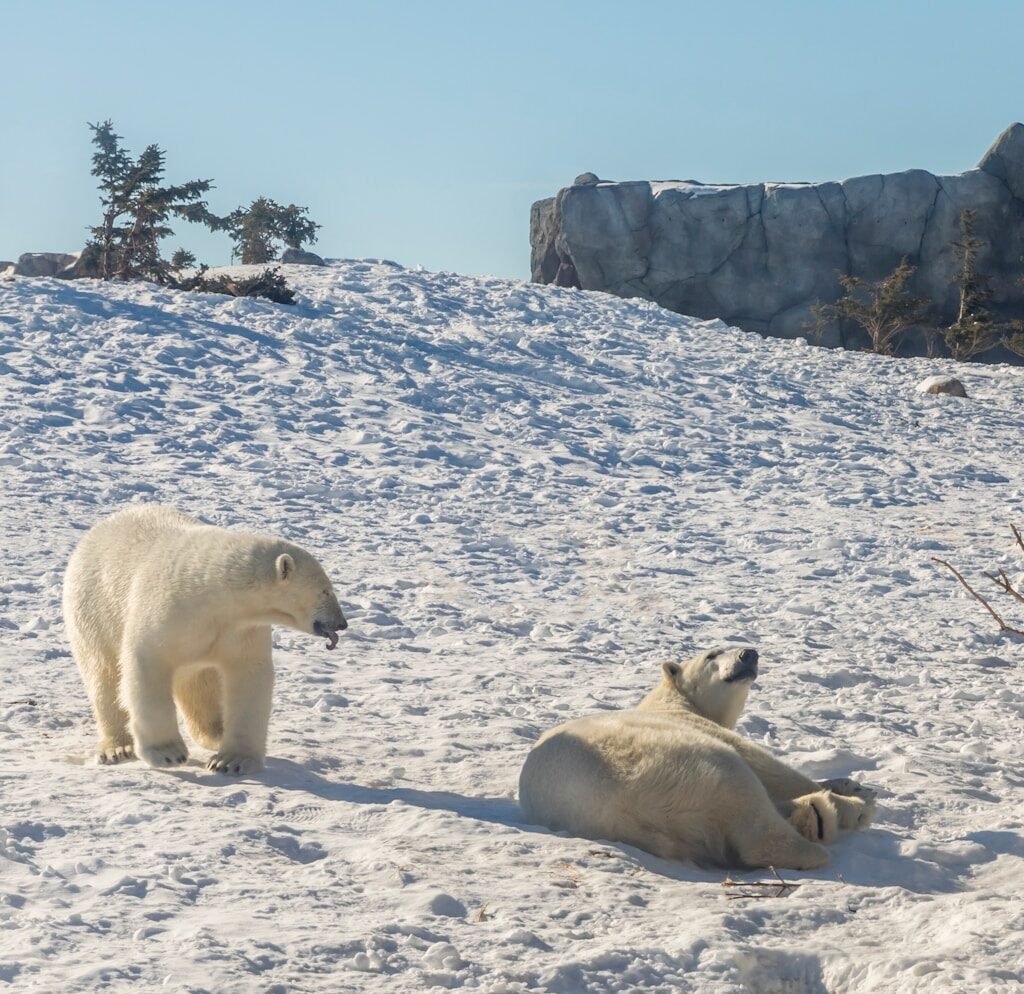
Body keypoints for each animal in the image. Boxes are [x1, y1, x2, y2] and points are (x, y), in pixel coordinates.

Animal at [62, 505, 348, 778]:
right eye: (326, 591)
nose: (341, 623)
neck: (213, 591)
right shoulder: (167, 611)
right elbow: (147, 665)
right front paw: (168, 753)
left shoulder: (240, 629)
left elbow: (248, 676)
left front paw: (232, 761)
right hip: (94, 612)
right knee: (104, 676)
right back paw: (117, 747)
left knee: (199, 685)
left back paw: (216, 734)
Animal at [524, 646, 876, 872]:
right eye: (711, 655)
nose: (748, 654)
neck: (671, 700)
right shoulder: (695, 727)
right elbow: (768, 766)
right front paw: (856, 795)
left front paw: (848, 785)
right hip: (680, 765)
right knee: (749, 808)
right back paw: (824, 823)